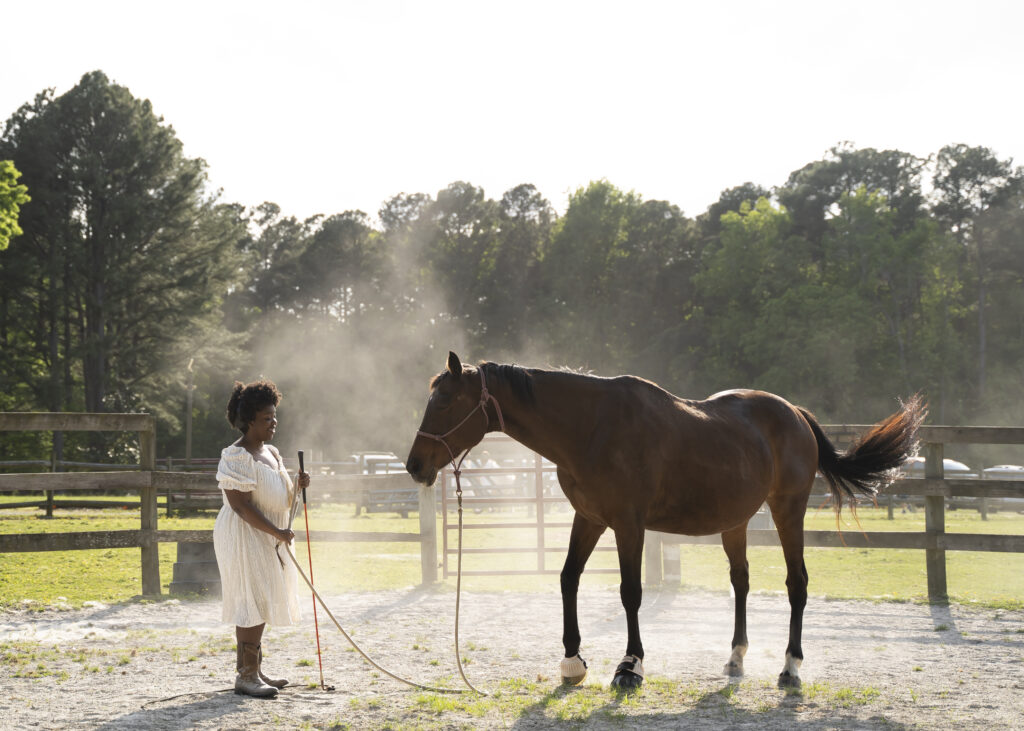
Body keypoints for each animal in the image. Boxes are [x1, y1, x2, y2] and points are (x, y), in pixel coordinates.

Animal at [403, 352, 925, 688]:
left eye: (445, 401)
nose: (414, 465)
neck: (591, 427)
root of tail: (793, 412)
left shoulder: (628, 524)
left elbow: (630, 591)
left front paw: (630, 665)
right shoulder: (588, 518)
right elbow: (568, 578)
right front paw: (572, 660)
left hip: (787, 509)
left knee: (797, 583)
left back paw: (791, 667)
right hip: (735, 522)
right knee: (741, 582)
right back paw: (735, 657)